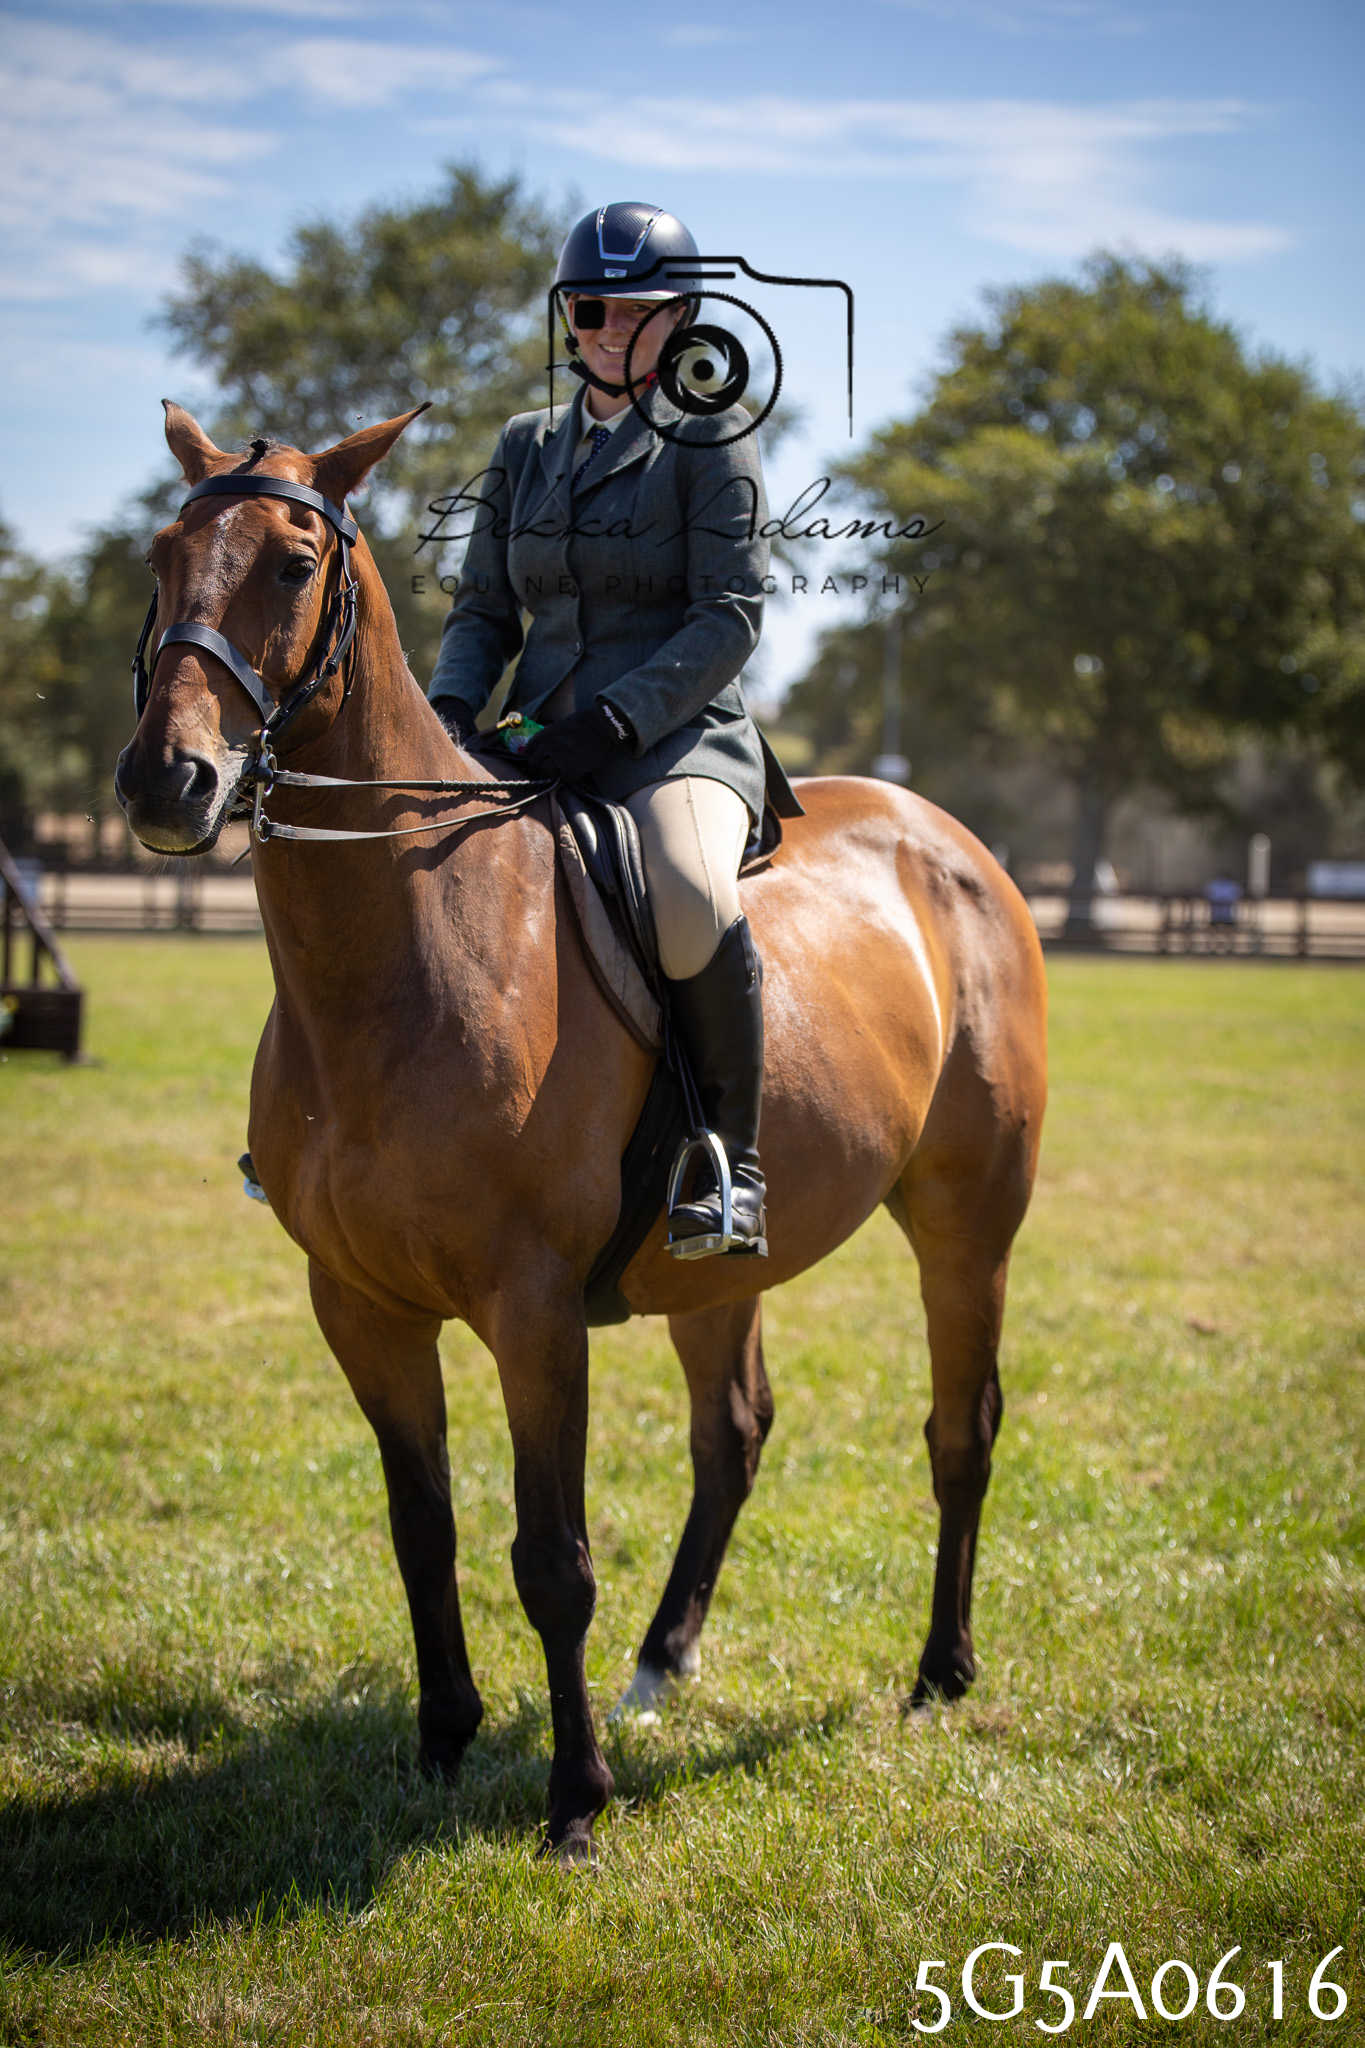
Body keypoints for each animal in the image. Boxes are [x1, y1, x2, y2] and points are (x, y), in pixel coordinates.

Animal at [115, 403, 1047, 1865]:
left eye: (291, 563)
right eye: (162, 554)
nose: (170, 778)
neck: (408, 949)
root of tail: (944, 834)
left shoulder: (535, 1309)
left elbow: (549, 1560)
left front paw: (574, 1800)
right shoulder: (360, 1306)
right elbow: (421, 1529)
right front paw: (444, 1740)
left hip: (967, 1223)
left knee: (962, 1428)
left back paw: (940, 1670)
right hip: (718, 1268)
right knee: (733, 1433)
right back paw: (665, 1660)